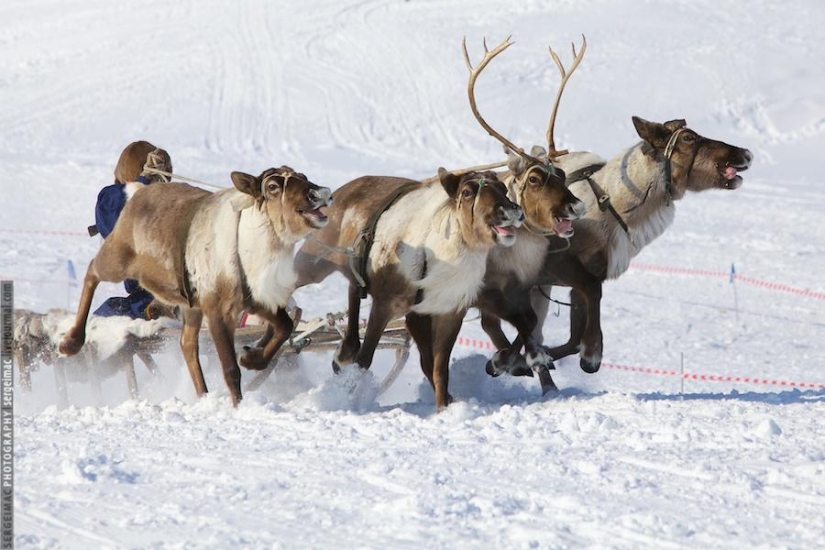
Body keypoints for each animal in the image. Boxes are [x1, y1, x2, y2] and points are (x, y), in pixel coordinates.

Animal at [59, 166, 333, 406]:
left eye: (302, 176)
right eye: (273, 186)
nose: (321, 192)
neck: (252, 248)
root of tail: (138, 191)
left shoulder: (255, 301)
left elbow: (284, 327)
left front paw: (251, 357)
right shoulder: (217, 309)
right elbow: (230, 368)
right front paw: (238, 404)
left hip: (189, 305)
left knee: (187, 344)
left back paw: (203, 396)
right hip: (118, 259)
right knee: (91, 271)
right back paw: (70, 342)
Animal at [479, 37, 754, 387]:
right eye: (690, 138)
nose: (745, 153)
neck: (618, 209)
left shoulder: (576, 279)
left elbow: (569, 335)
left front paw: (520, 361)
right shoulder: (561, 269)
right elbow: (566, 322)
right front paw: (590, 356)